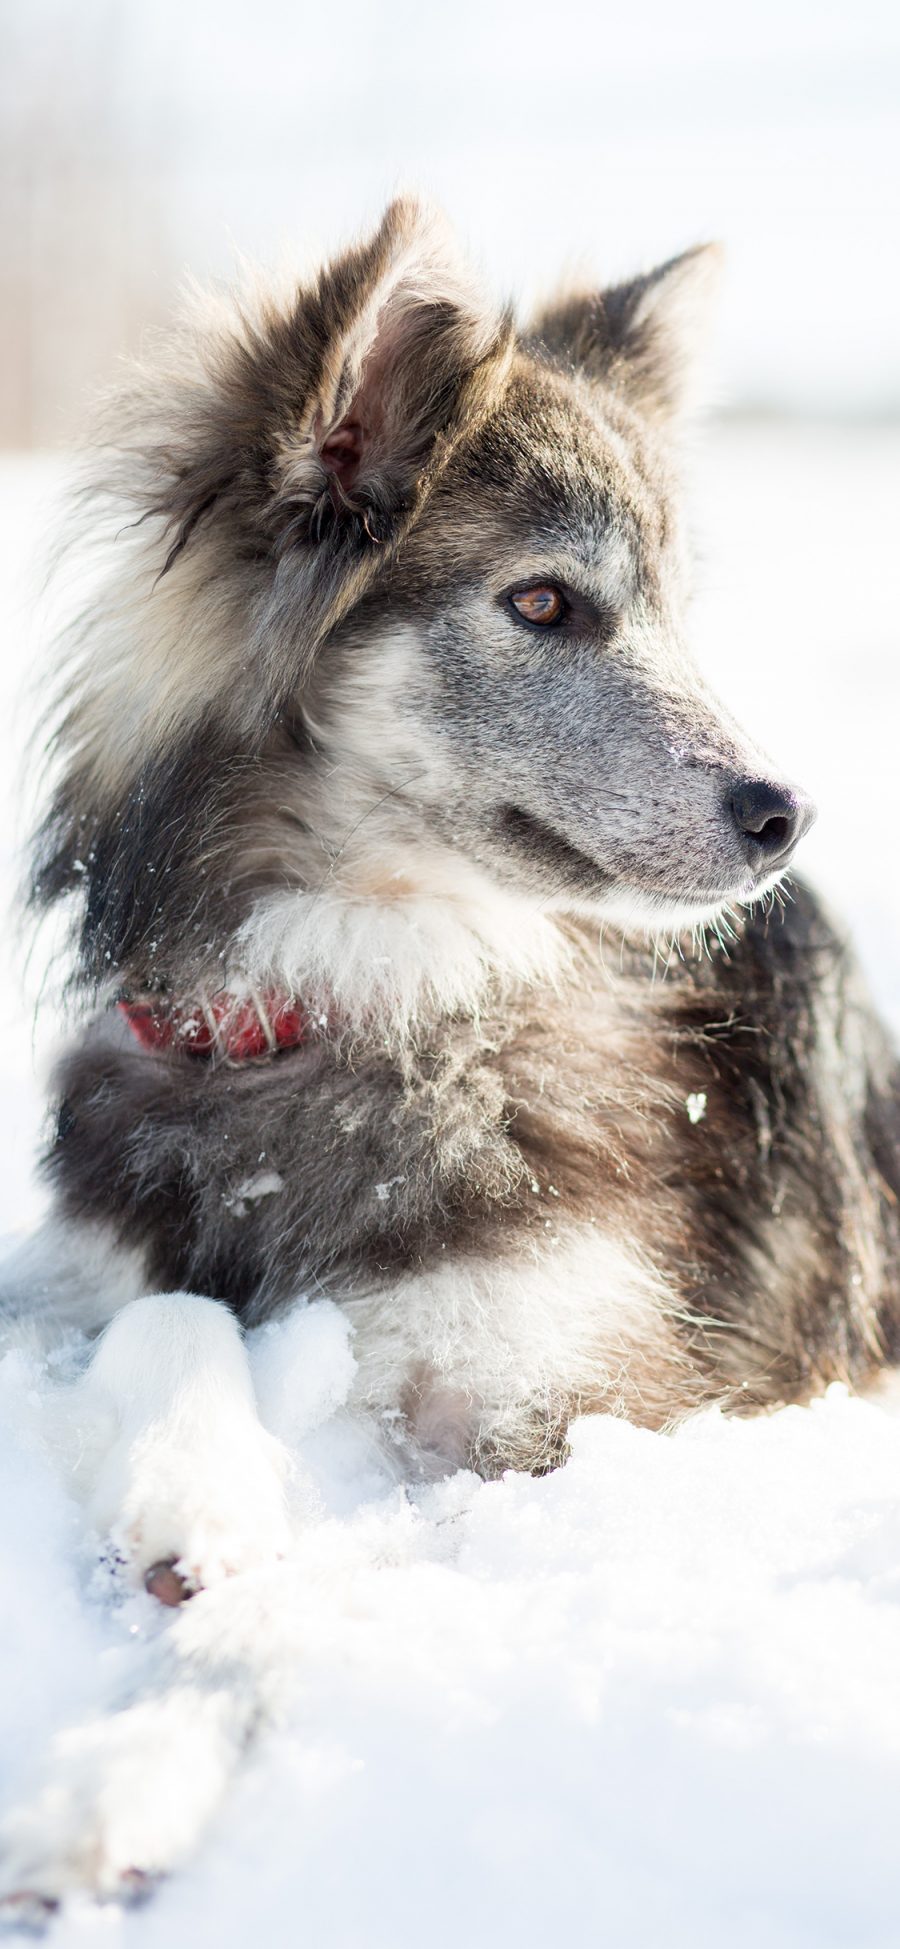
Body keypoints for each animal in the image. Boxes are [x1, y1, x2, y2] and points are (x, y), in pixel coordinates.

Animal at [1, 197, 900, 1902]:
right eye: (544, 603)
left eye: (675, 606)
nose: (789, 811)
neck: (348, 997)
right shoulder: (61, 1289)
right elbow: (168, 1316)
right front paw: (193, 1499)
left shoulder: (558, 1434)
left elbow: (301, 1598)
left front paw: (121, 1771)